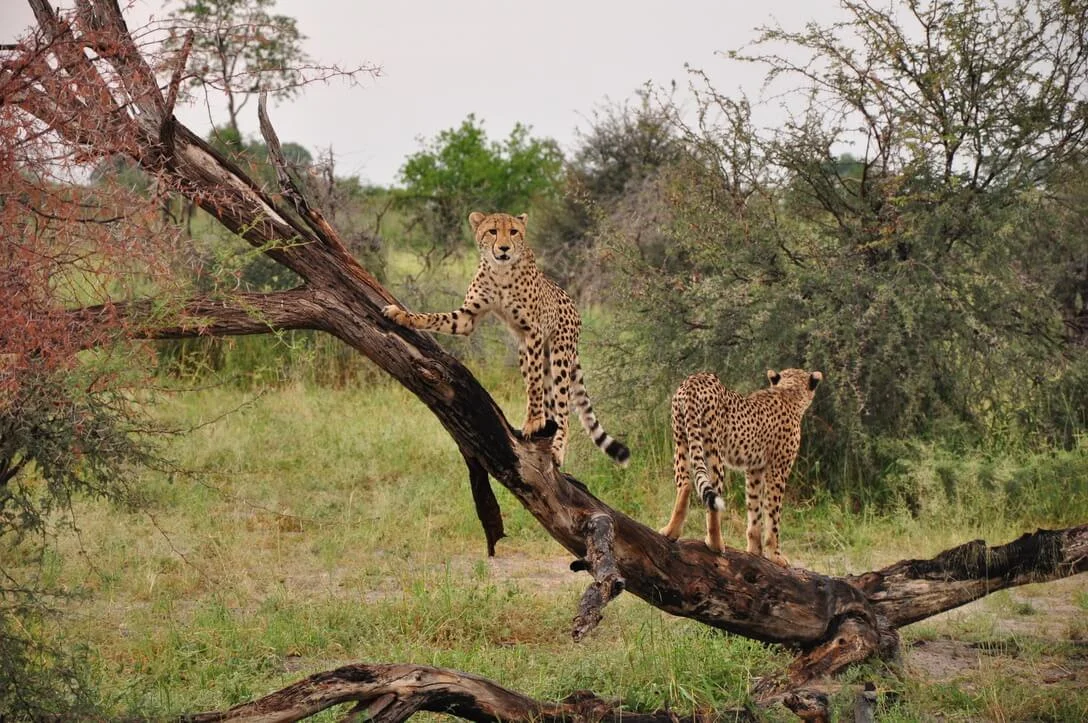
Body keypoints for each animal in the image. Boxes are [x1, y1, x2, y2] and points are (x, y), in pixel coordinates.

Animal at [382, 211, 629, 468]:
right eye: (492, 231)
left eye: (513, 231)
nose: (503, 248)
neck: (500, 271)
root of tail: (574, 307)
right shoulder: (467, 318)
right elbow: (434, 318)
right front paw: (402, 315)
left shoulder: (533, 331)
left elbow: (534, 385)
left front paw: (533, 421)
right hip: (531, 354)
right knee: (548, 395)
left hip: (559, 354)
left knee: (562, 406)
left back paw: (557, 447)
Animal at [658, 368, 822, 567]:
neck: (788, 393)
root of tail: (696, 379)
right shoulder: (777, 471)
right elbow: (773, 515)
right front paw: (775, 555)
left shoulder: (754, 470)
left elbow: (754, 509)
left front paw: (754, 551)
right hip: (713, 450)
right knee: (712, 497)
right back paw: (715, 543)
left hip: (681, 440)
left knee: (686, 484)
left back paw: (670, 532)